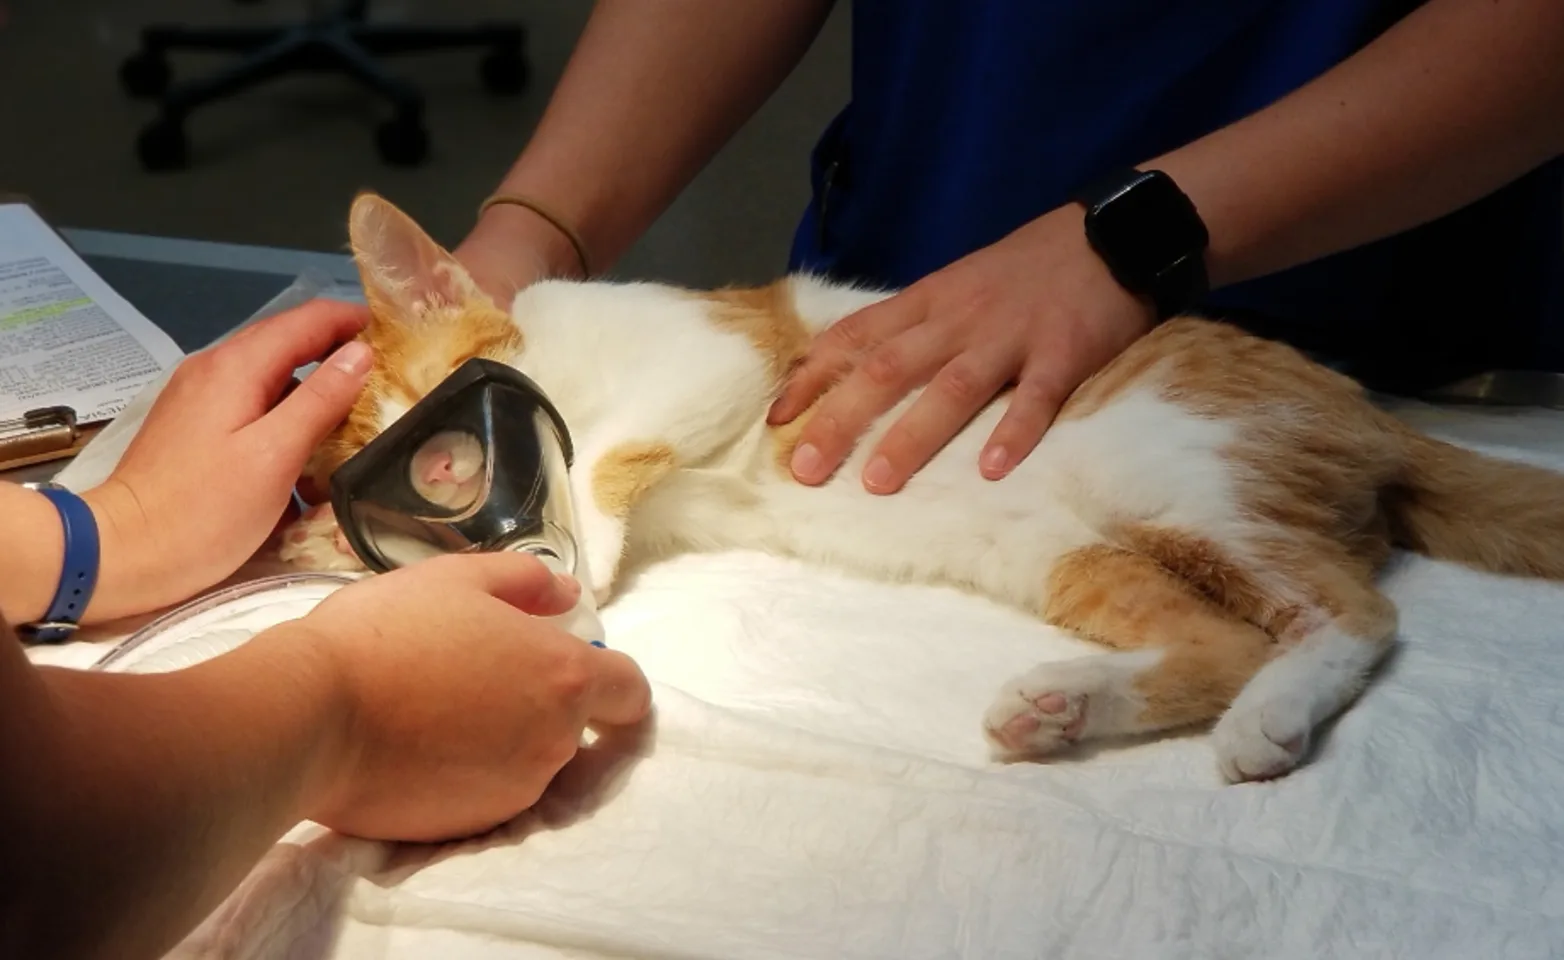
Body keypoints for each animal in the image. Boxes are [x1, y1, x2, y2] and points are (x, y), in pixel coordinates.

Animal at [278, 191, 1564, 784]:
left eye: (448, 416)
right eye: (404, 526)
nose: (469, 490)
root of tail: (1371, 411)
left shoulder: (716, 350)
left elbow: (609, 455)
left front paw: (579, 536)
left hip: (1173, 474)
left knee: (1354, 611)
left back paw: (1271, 716)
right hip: (1057, 547)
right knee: (1223, 636)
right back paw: (1065, 706)